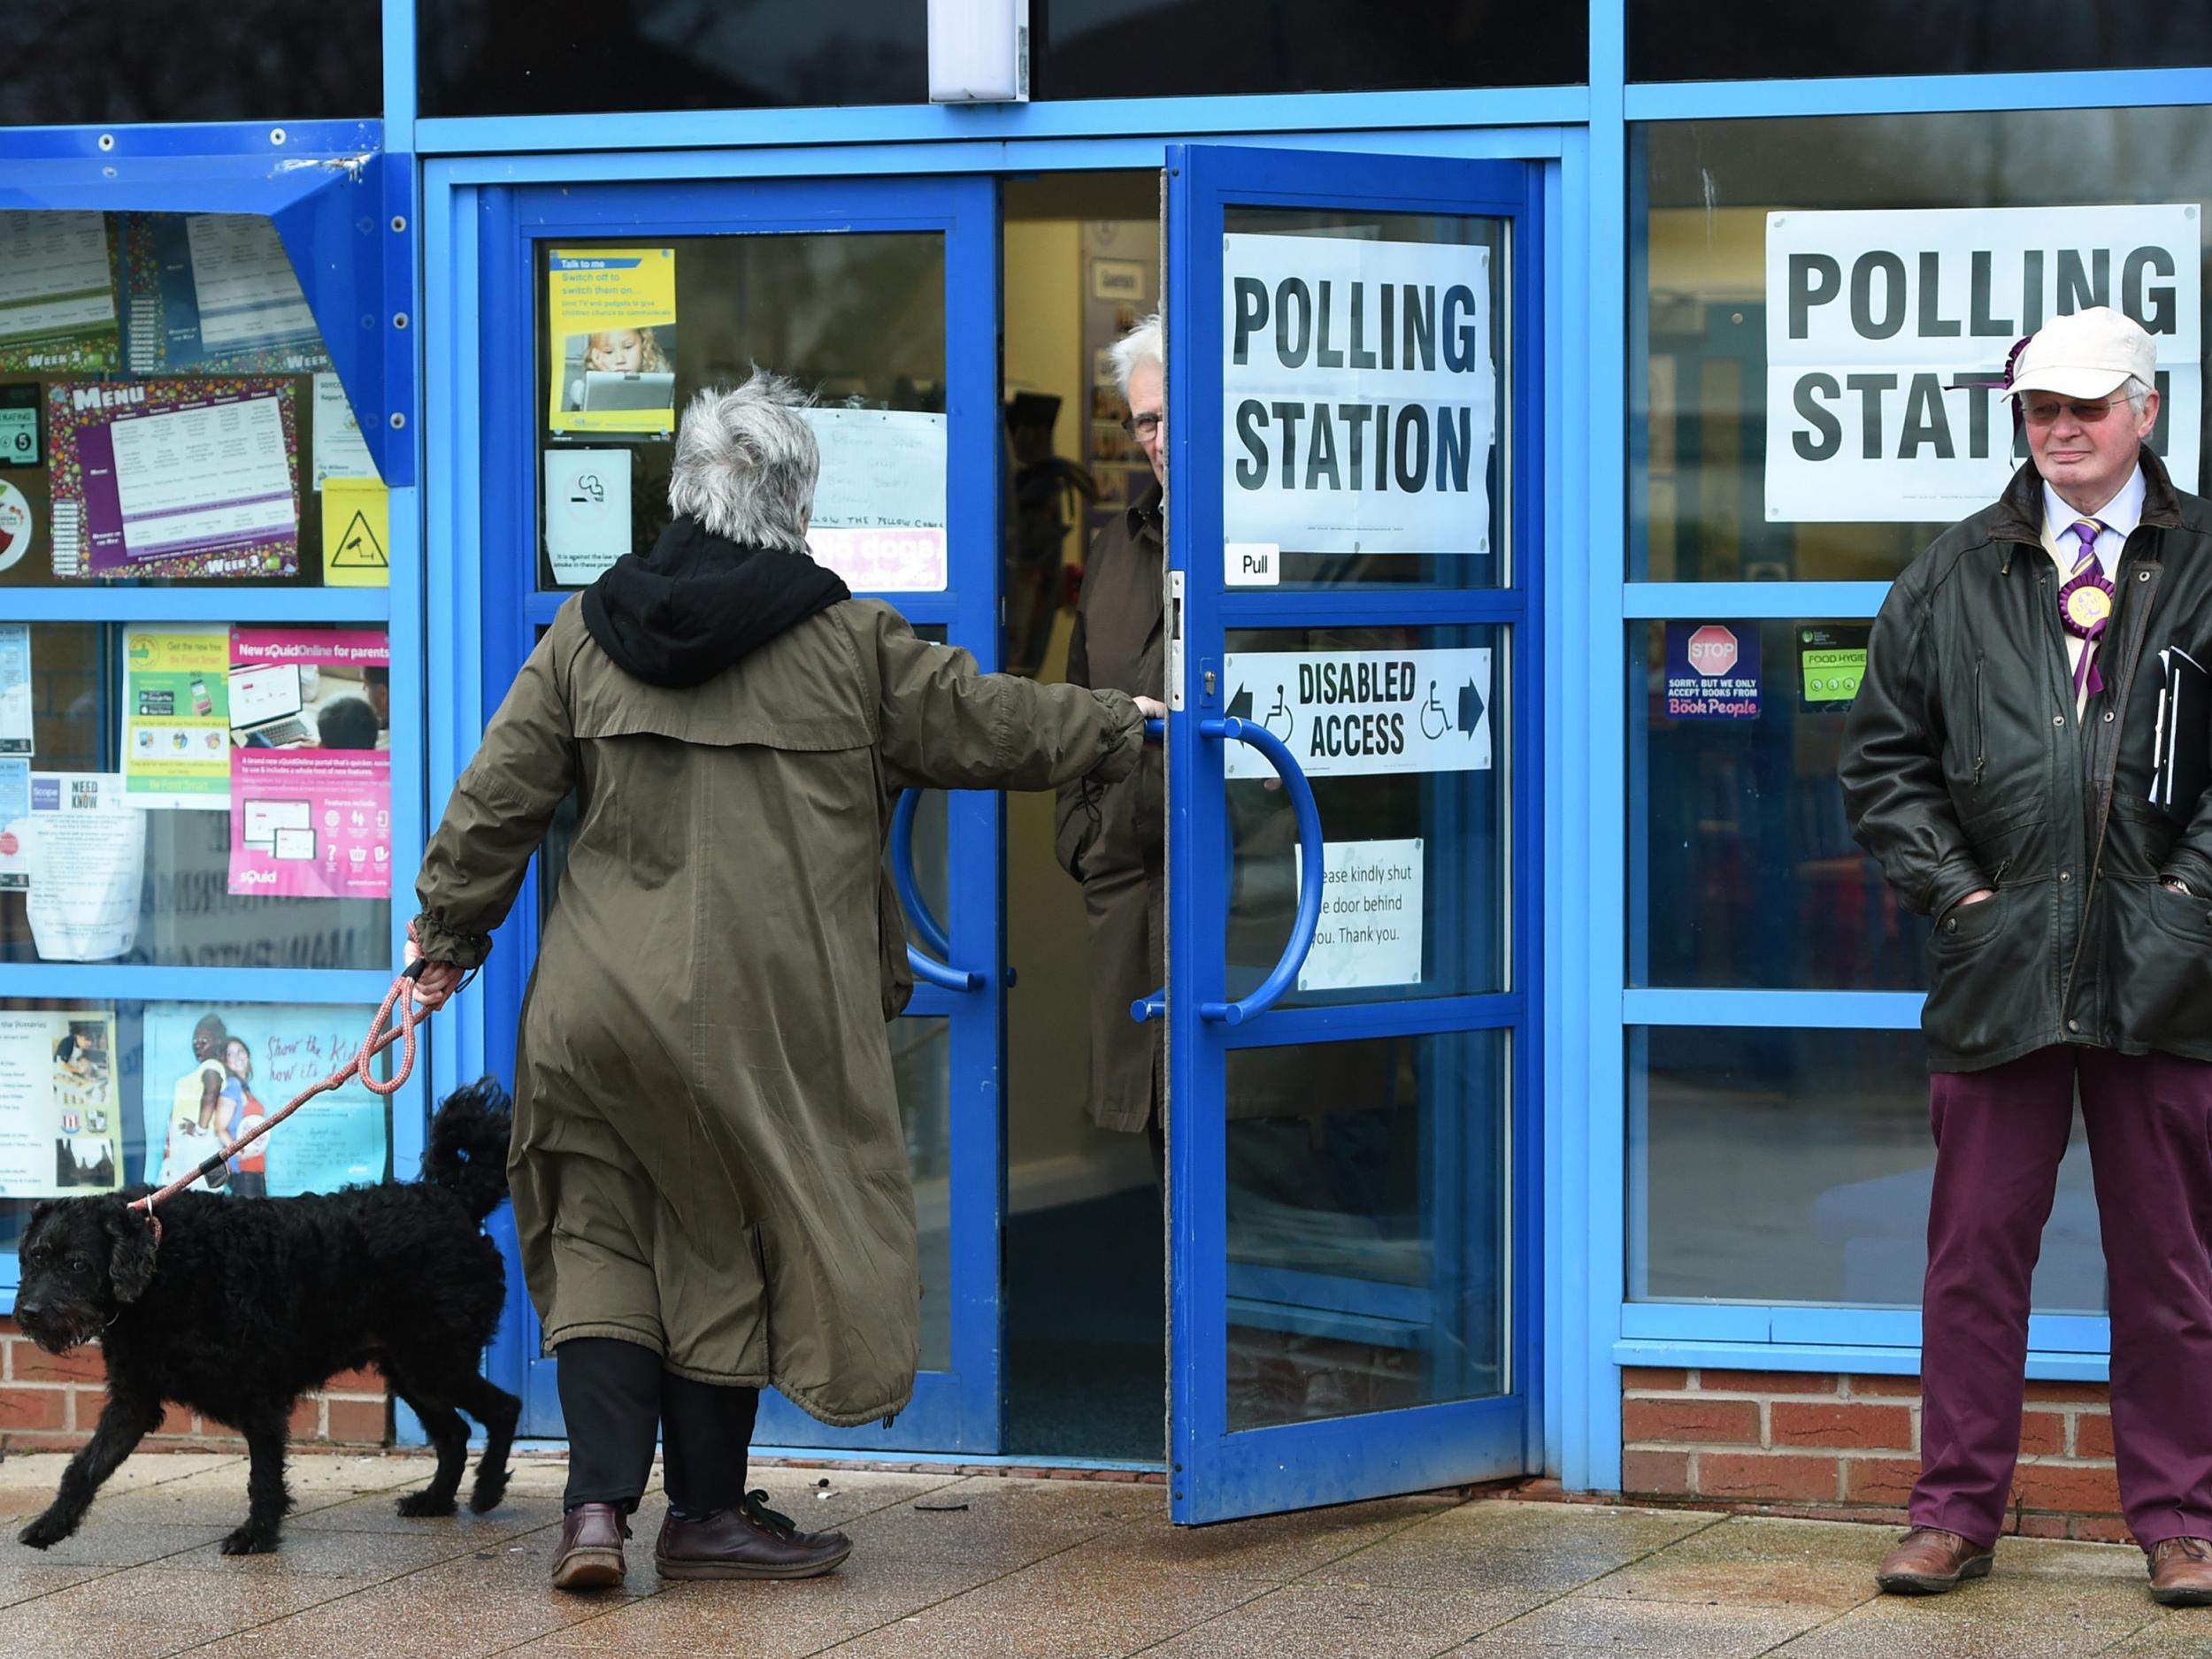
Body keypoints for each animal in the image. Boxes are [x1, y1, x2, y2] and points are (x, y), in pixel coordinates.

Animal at [13, 1079, 522, 1557]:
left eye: (77, 1264)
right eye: (35, 1257)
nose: (29, 1314)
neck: (163, 1266)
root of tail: (455, 1201)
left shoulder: (258, 1398)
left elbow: (263, 1476)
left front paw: (257, 1535)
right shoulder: (133, 1400)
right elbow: (85, 1466)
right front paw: (51, 1524)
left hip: (435, 1360)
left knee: (503, 1408)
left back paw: (487, 1489)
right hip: (411, 1370)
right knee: (455, 1432)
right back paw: (436, 1500)